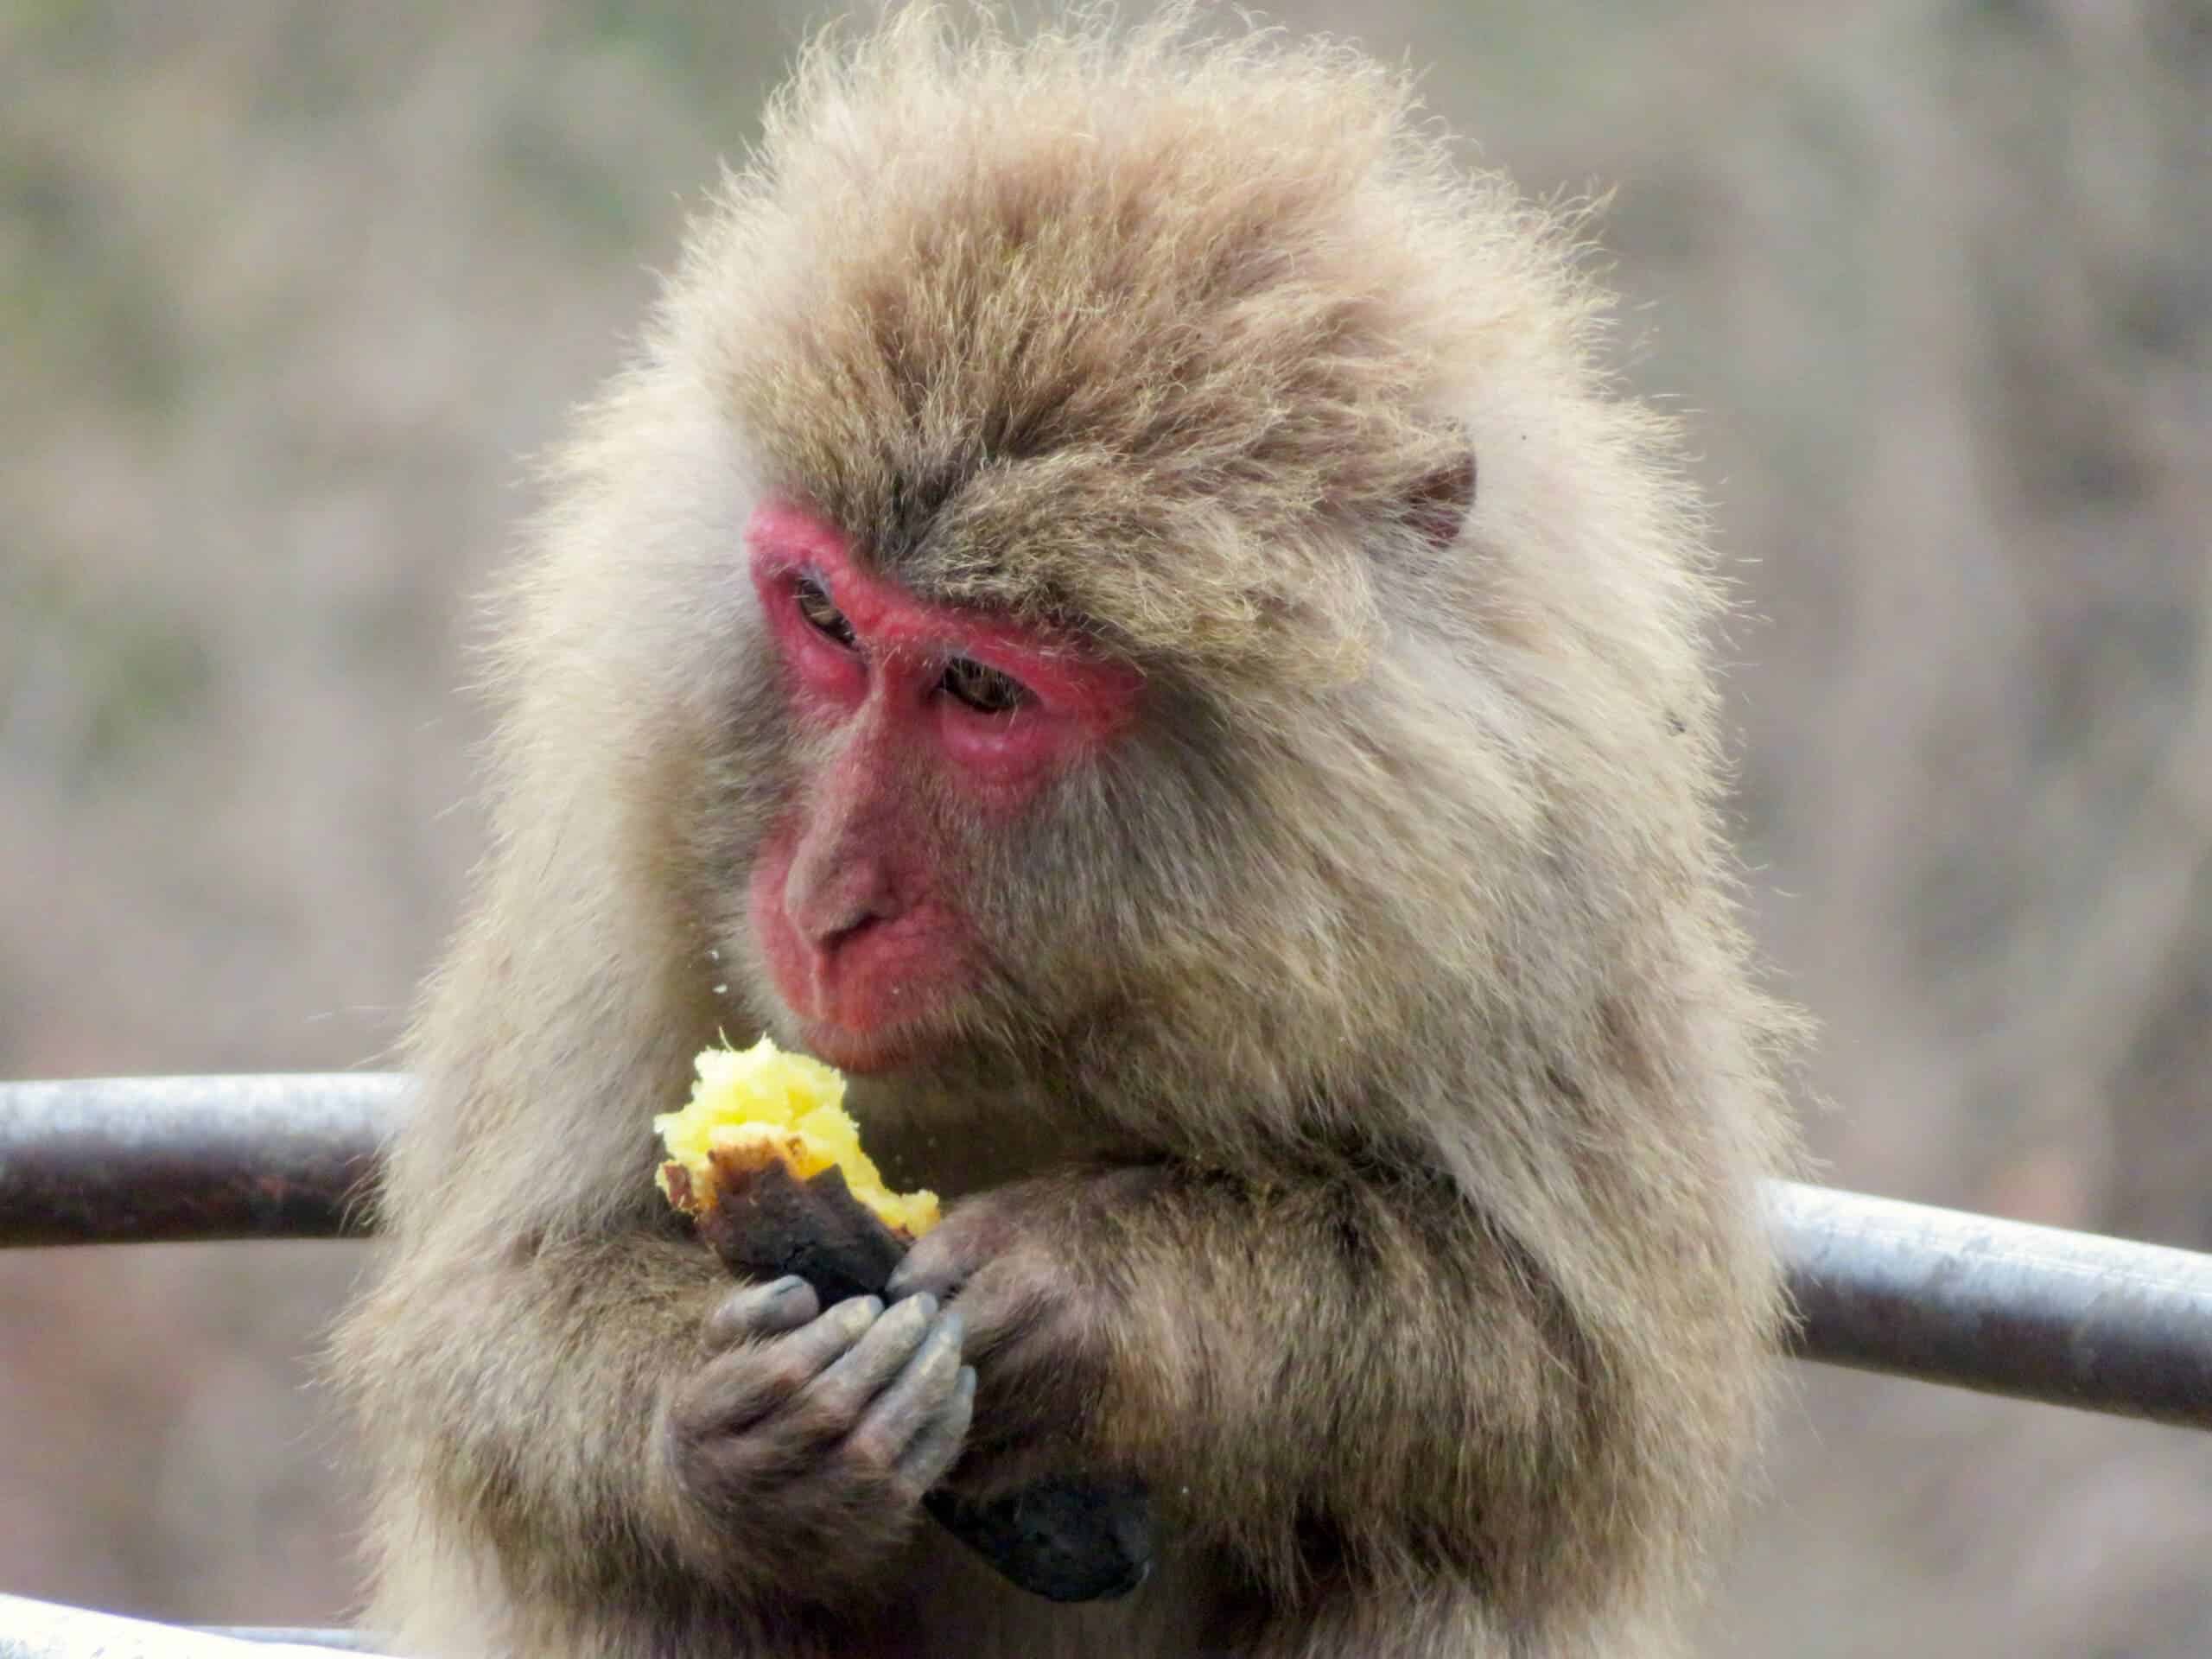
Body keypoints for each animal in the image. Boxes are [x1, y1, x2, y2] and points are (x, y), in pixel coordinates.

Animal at [331, 8, 1798, 1657]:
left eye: (981, 687)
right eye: (825, 617)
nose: (820, 902)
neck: (1070, 999)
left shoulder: (1552, 866)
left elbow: (1573, 1381)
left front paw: (1089, 1298)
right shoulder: (623, 816)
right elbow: (480, 1320)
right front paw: (735, 1437)